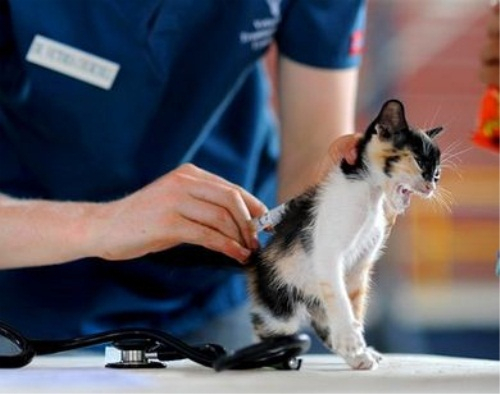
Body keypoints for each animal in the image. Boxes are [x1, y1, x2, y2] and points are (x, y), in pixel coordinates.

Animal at [246, 98, 442, 370]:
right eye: (420, 161)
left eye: (437, 172)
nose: (432, 185)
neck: (370, 194)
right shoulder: (328, 254)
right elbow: (339, 299)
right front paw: (352, 340)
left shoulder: (360, 265)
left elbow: (353, 305)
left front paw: (358, 348)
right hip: (278, 301)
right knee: (270, 330)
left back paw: (355, 356)